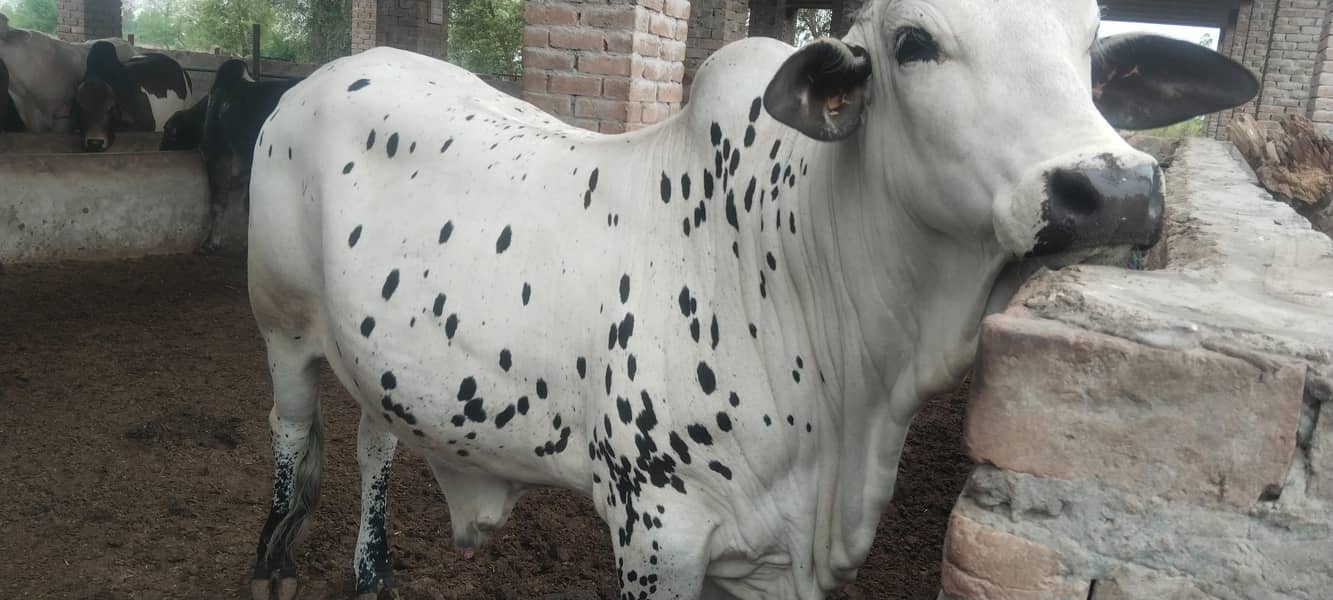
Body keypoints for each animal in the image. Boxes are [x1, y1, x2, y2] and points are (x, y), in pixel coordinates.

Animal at [244, 2, 1258, 599]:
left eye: (1091, 51)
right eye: (913, 42)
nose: (1115, 190)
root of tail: (317, 79)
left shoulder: (772, 562)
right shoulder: (655, 536)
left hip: (379, 357)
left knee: (374, 438)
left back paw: (370, 573)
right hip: (282, 327)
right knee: (292, 440)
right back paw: (272, 565)